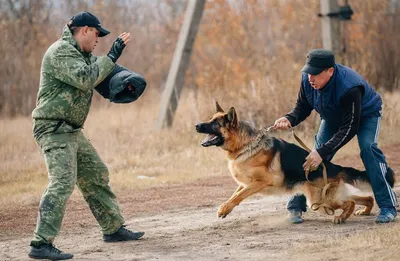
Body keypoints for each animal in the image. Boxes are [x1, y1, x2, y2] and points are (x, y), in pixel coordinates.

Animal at [195, 101, 396, 223]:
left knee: (350, 203)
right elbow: (234, 195)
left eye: (215, 124)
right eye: (210, 120)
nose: (197, 125)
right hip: (325, 198)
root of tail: (333, 166)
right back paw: (365, 211)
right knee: (365, 198)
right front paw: (225, 208)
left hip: (321, 201)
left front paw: (224, 209)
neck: (245, 145)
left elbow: (238, 196)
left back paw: (342, 217)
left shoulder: (260, 182)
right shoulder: (244, 183)